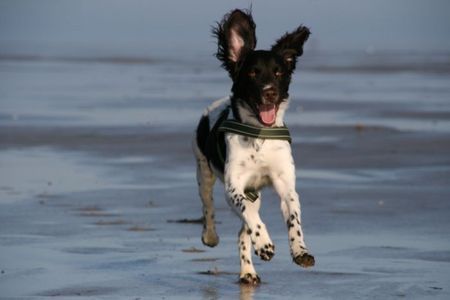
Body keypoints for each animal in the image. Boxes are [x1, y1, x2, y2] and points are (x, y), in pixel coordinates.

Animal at [192, 7, 314, 284]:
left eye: (279, 73)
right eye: (253, 73)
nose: (270, 92)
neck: (260, 135)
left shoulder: (285, 184)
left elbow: (294, 218)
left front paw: (300, 251)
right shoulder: (234, 186)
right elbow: (248, 214)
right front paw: (265, 244)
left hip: (253, 192)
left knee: (242, 231)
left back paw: (248, 272)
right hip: (203, 171)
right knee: (209, 206)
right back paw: (212, 236)